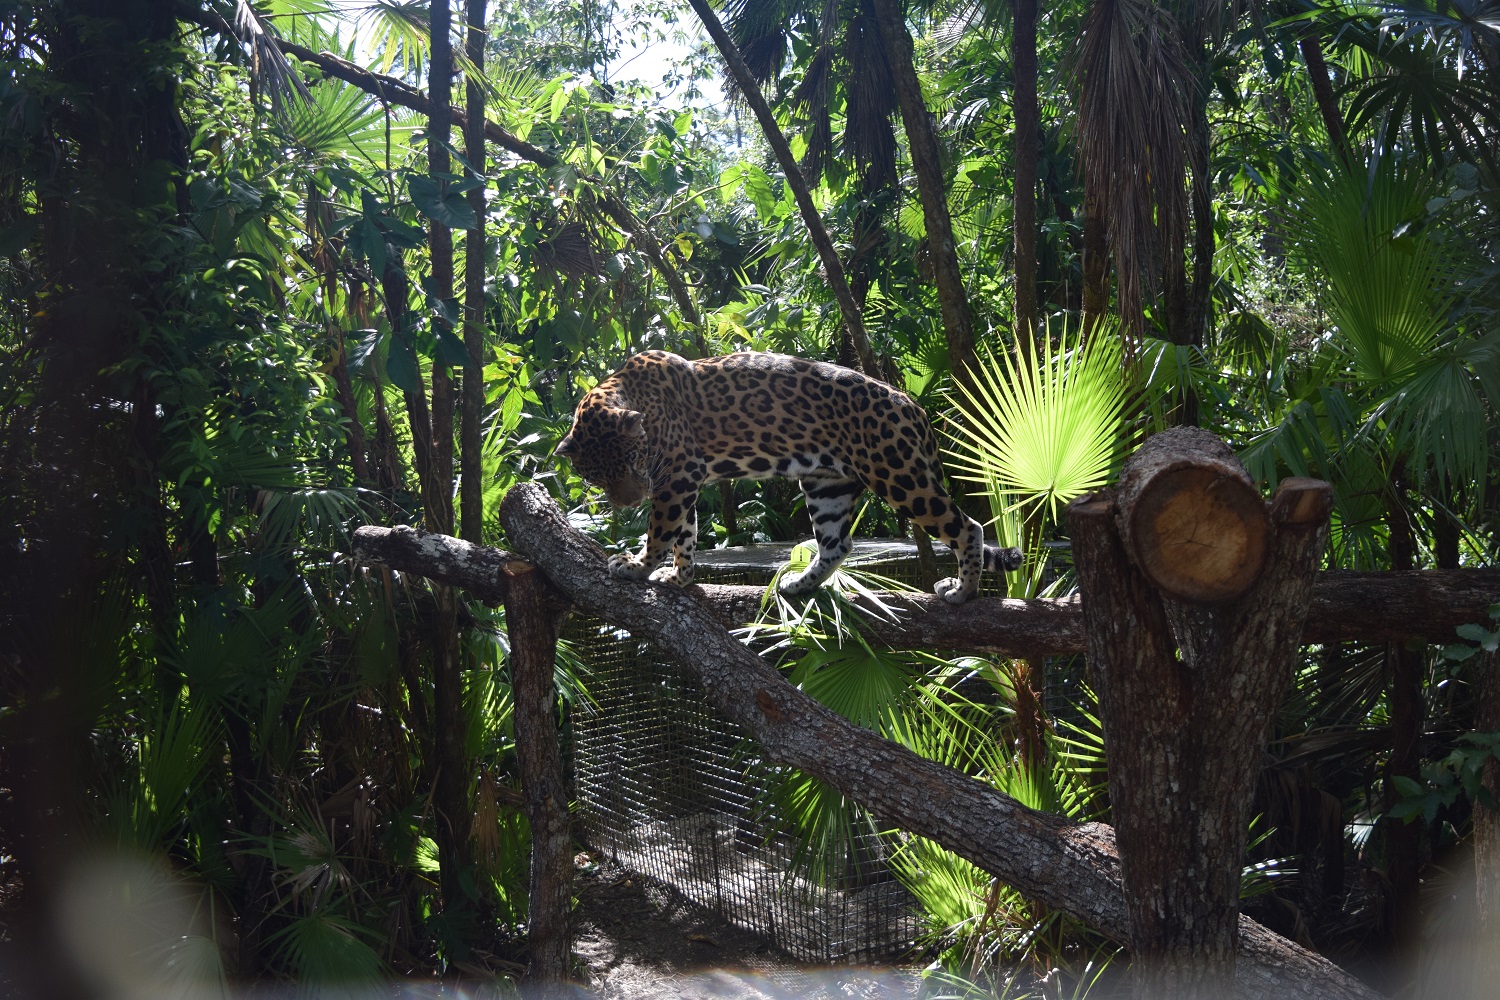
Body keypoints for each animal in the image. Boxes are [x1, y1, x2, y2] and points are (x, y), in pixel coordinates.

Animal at [554, 350, 1022, 604]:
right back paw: (798, 584)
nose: (629, 501)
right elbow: (684, 533)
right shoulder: (680, 482)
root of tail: (913, 405)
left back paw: (963, 591)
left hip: (899, 474)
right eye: (596, 478)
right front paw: (679, 576)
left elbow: (662, 531)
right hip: (826, 484)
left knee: (967, 527)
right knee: (837, 543)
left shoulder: (677, 476)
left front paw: (637, 567)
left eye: (629, 463)